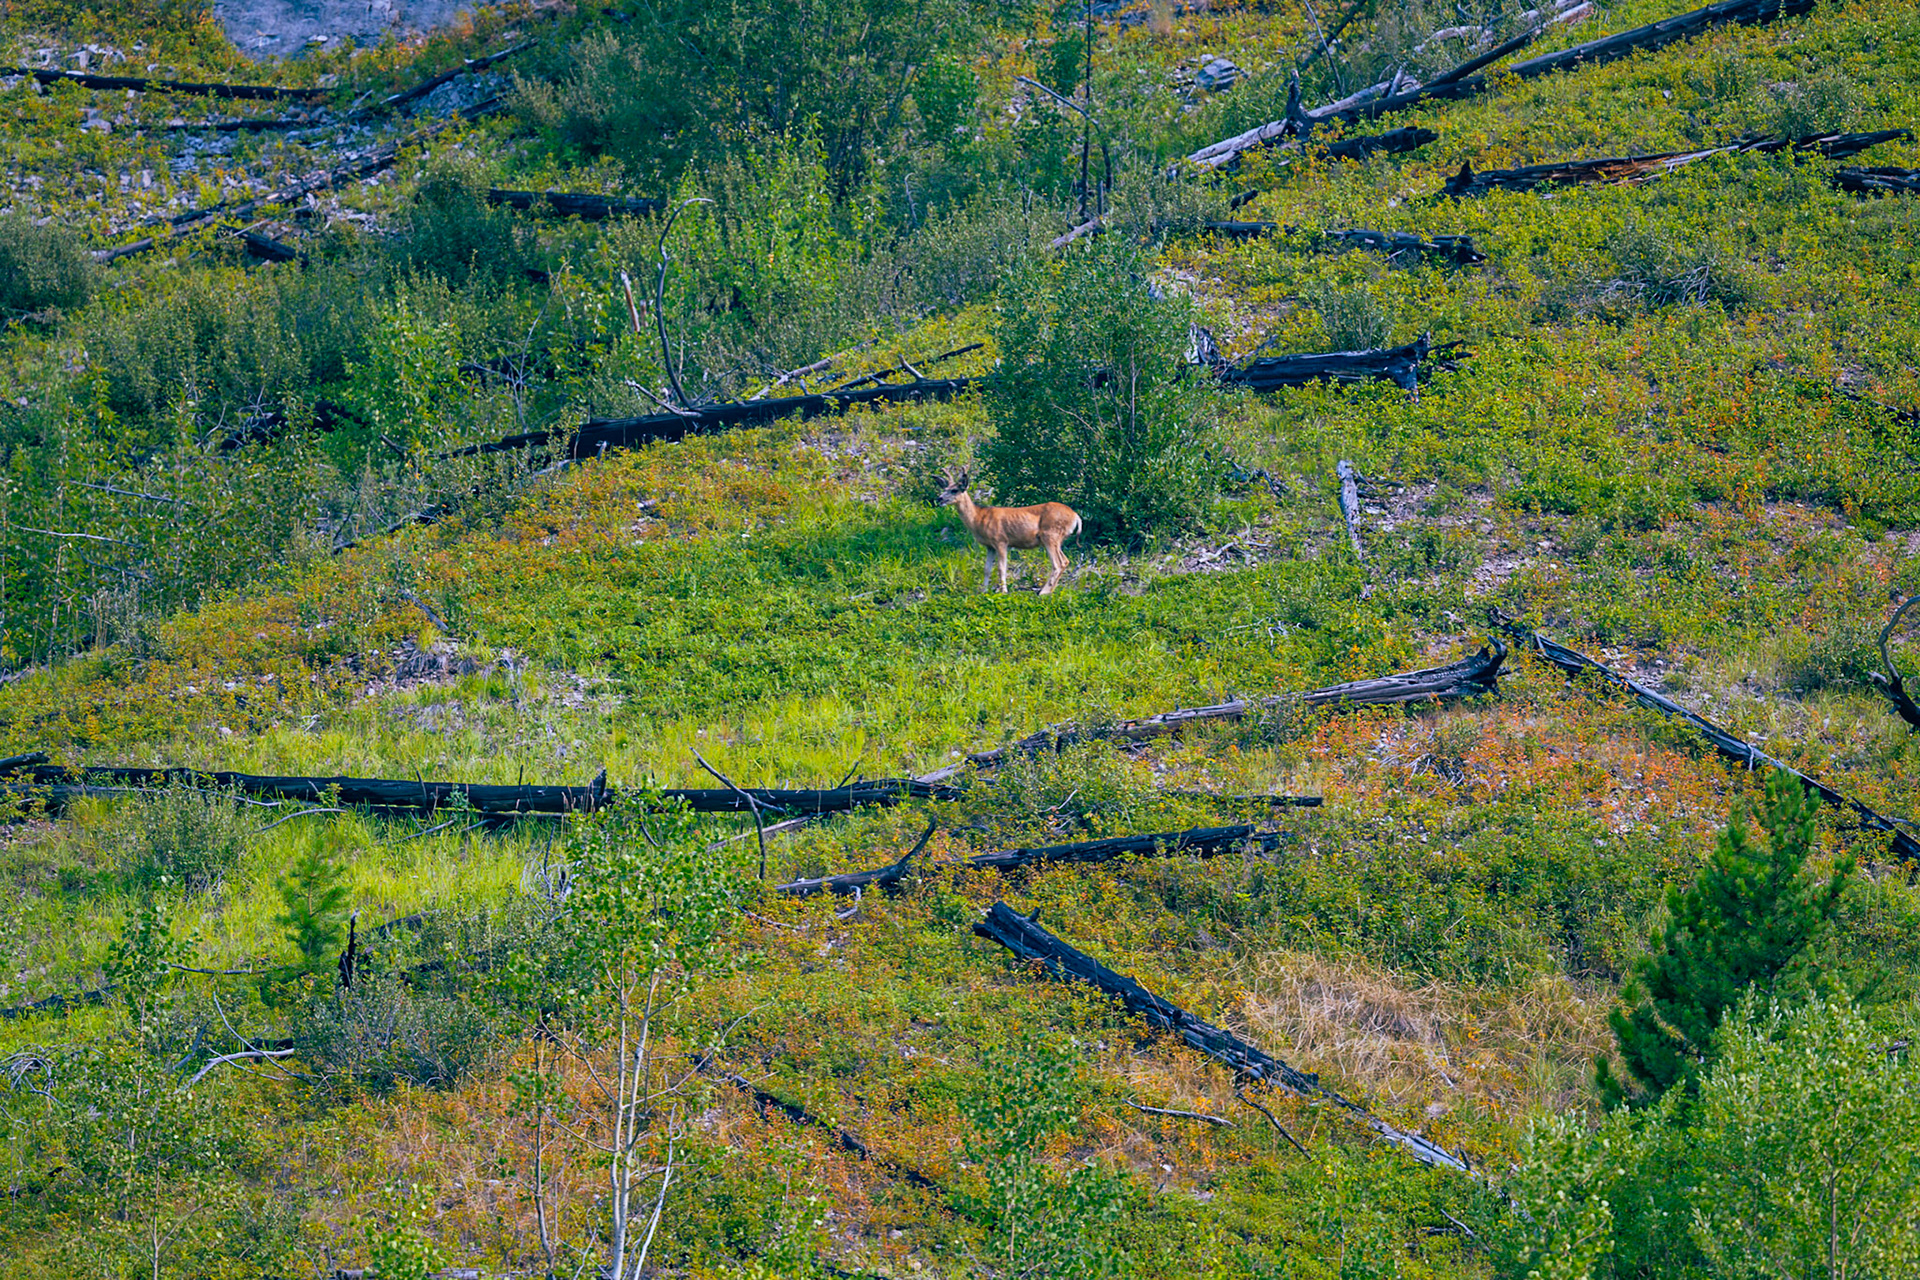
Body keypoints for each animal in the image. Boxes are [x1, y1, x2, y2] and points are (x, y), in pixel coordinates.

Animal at [936, 469, 1082, 595]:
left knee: (1058, 563)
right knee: (1065, 561)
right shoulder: (989, 546)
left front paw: (1004, 591)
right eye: (944, 489)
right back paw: (1050, 590)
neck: (978, 518)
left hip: (1050, 535)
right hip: (1057, 539)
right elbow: (987, 569)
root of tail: (1076, 516)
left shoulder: (1001, 541)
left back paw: (1043, 592)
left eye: (954, 490)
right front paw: (984, 591)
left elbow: (1001, 568)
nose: (939, 498)